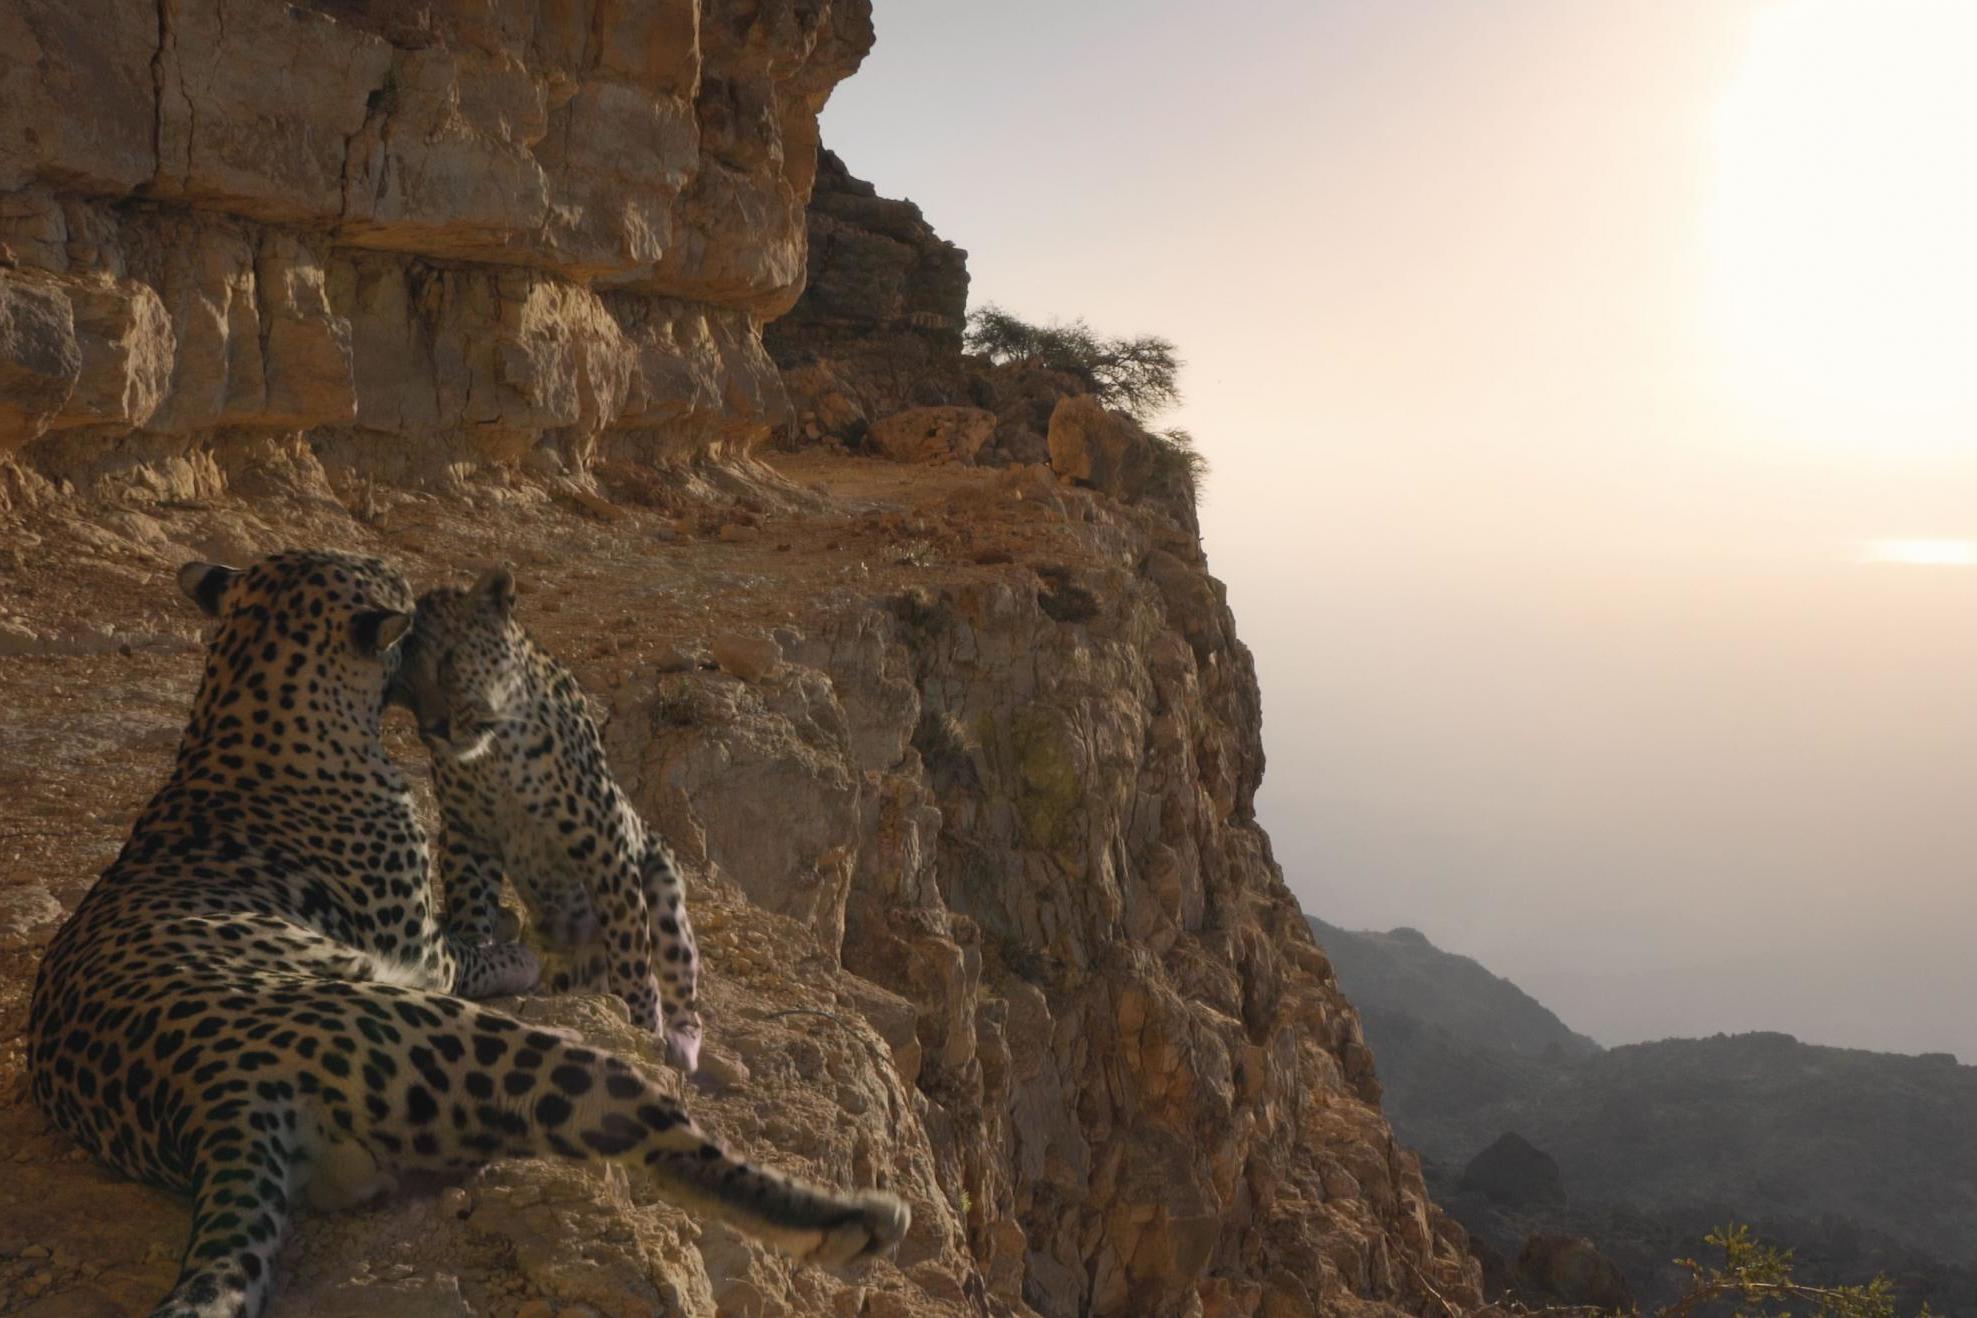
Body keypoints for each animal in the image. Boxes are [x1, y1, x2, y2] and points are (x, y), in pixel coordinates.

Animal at [389, 565, 707, 1074]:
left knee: (677, 973)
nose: (435, 730)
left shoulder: (605, 846)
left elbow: (632, 951)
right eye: (403, 688)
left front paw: (641, 1026)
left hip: (663, 885)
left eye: (450, 661)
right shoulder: (465, 833)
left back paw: (678, 1039)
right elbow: (470, 903)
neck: (495, 752)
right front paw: (479, 955)